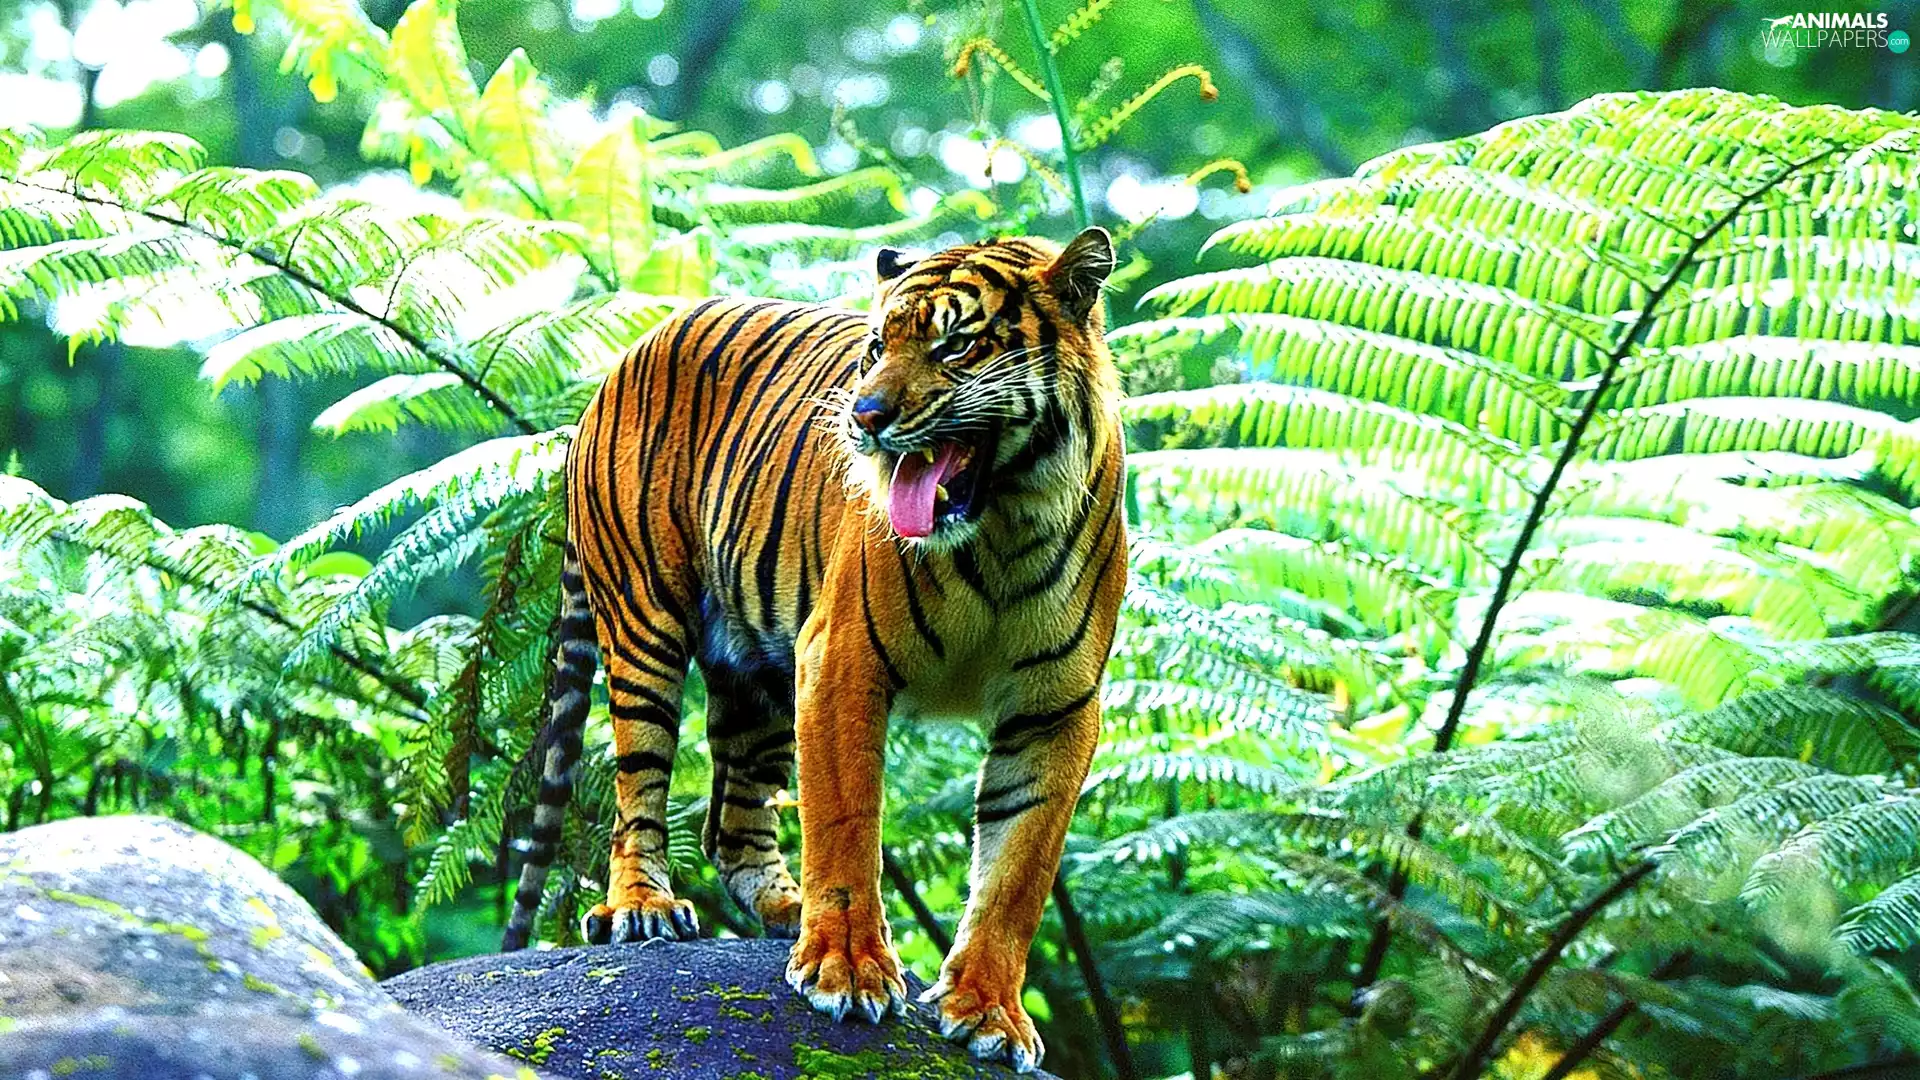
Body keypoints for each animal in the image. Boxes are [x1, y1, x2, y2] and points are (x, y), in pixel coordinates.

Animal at [500, 227, 1127, 1073]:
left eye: (956, 344)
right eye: (877, 347)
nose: (865, 415)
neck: (1003, 527)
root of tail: (631, 351)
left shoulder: (1056, 706)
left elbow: (1017, 871)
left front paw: (989, 1013)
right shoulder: (842, 659)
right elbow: (847, 822)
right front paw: (848, 970)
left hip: (756, 669)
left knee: (731, 825)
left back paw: (782, 907)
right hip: (642, 621)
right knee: (639, 789)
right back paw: (642, 907)